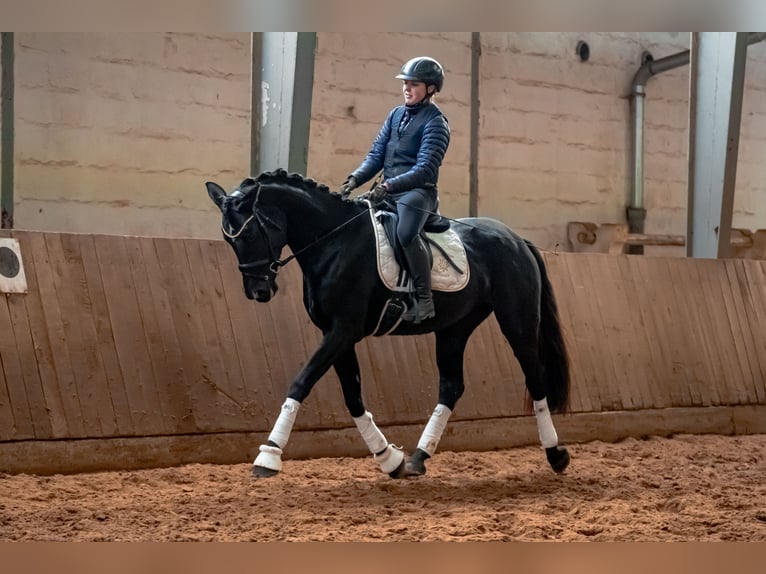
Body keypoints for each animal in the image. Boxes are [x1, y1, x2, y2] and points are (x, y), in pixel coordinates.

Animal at [205, 169, 571, 479]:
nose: (258, 291)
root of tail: (515, 239)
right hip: (454, 328)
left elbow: (301, 383)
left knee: (535, 378)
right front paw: (389, 458)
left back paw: (556, 455)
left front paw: (268, 455)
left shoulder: (343, 330)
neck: (334, 242)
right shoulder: (337, 334)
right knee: (451, 386)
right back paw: (418, 458)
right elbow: (352, 396)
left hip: (517, 321)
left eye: (250, 232)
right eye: (228, 239)